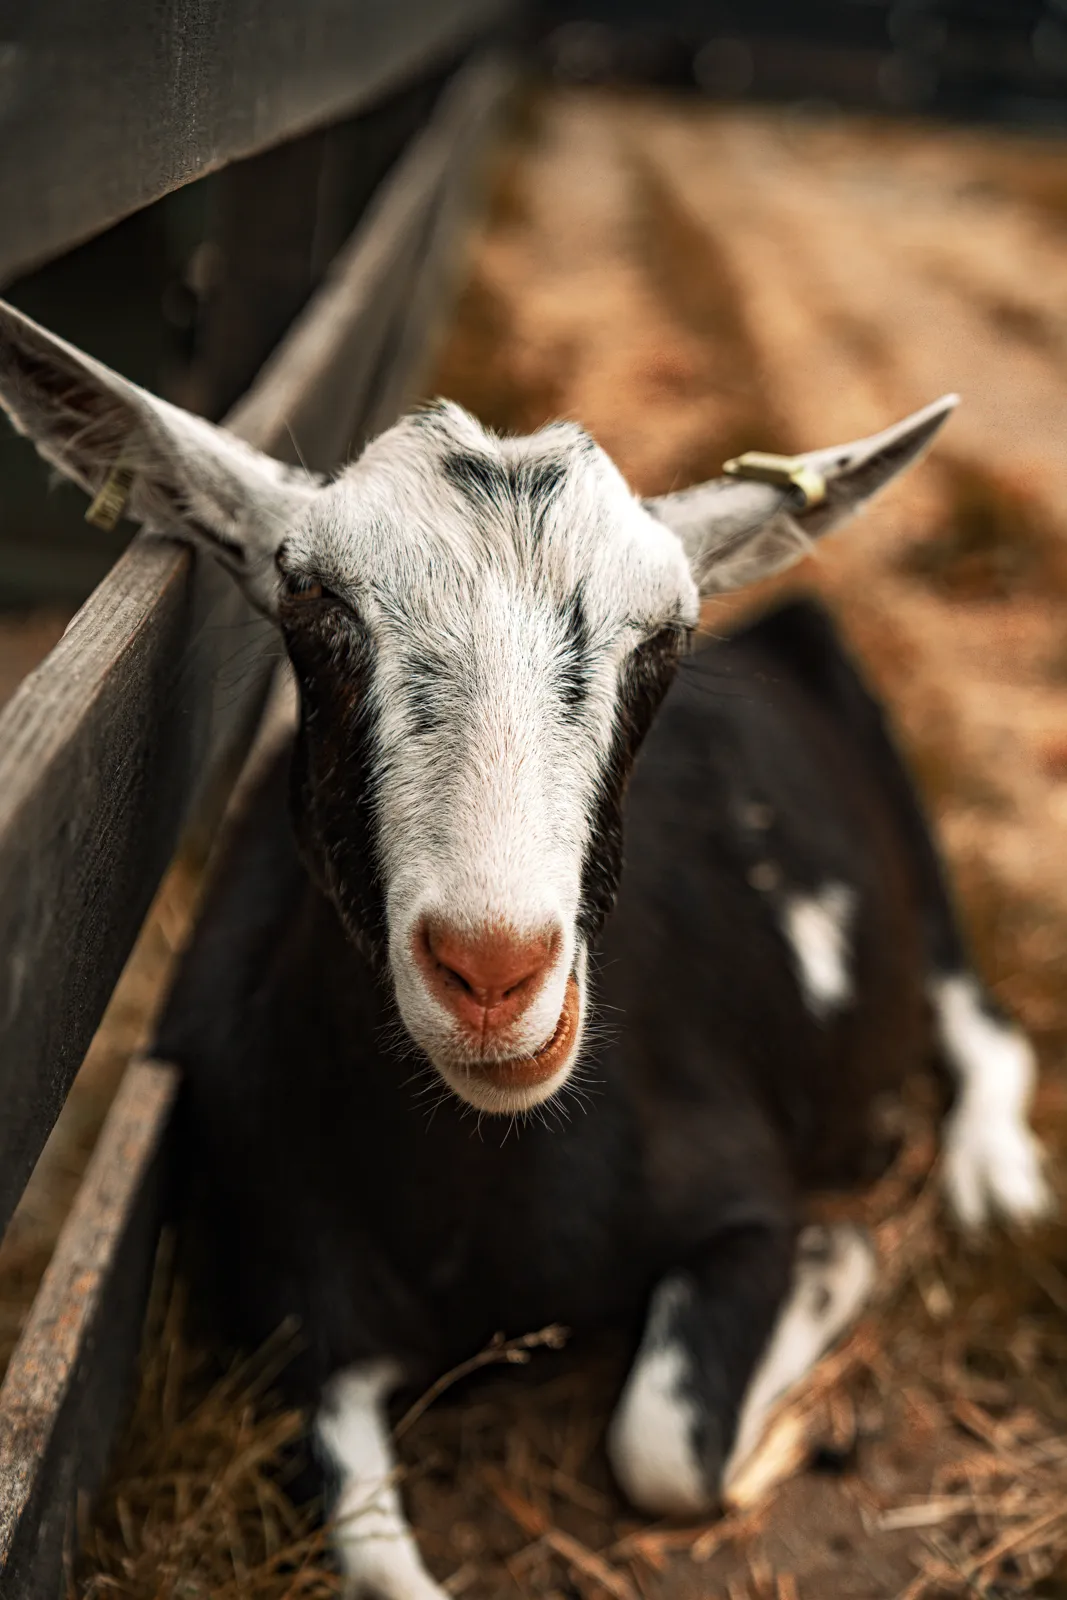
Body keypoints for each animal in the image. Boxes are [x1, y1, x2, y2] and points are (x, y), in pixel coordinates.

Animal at [0, 299, 1051, 1600]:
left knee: (979, 1015)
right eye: (309, 603)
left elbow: (663, 1449)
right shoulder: (290, 1326)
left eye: (666, 639)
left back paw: (995, 1181)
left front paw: (834, 1265)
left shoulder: (739, 1198)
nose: (494, 972)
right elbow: (374, 1549)